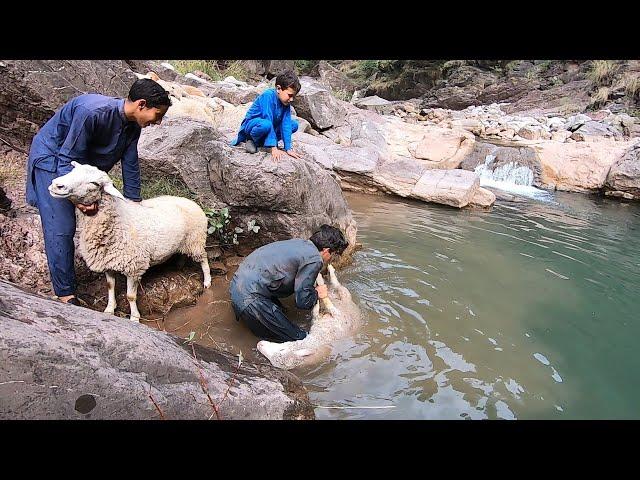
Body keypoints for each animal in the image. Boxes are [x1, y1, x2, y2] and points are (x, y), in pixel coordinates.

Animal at [49, 162, 212, 322]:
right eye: (72, 171)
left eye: (94, 183)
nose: (56, 185)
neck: (119, 219)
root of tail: (189, 200)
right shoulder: (108, 261)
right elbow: (110, 286)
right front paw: (109, 309)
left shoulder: (134, 266)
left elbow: (131, 296)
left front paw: (134, 317)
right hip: (184, 242)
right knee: (183, 254)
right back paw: (179, 266)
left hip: (195, 240)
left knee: (203, 259)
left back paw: (207, 281)